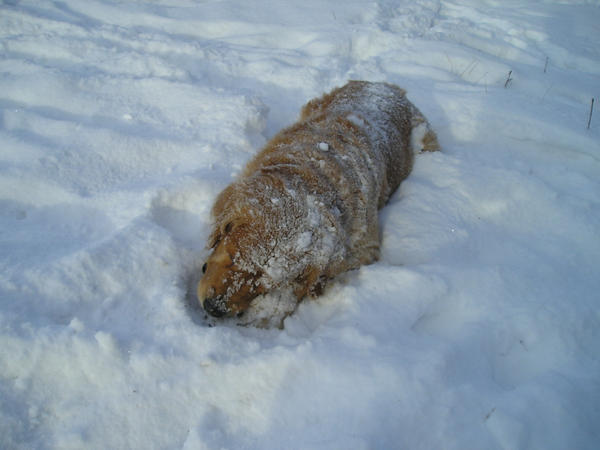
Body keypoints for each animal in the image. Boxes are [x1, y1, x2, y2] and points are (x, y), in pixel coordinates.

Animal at [199, 81, 438, 320]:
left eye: (262, 286)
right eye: (232, 258)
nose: (215, 308)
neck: (317, 176)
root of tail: (390, 87)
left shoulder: (366, 249)